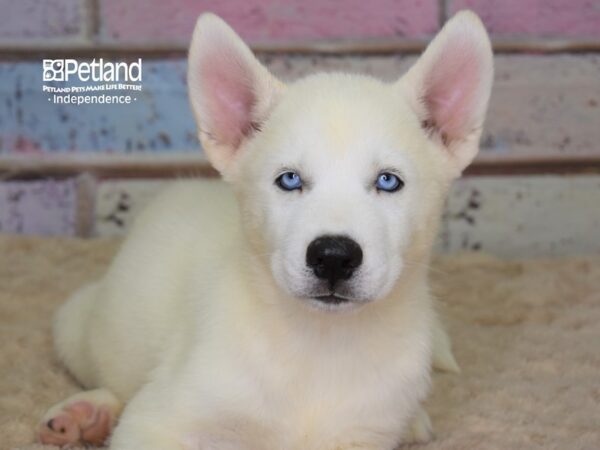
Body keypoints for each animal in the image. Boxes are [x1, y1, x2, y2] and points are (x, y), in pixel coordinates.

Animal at [37, 10, 490, 450]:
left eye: (388, 181)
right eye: (289, 180)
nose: (333, 257)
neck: (319, 345)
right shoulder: (156, 423)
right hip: (78, 330)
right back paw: (84, 415)